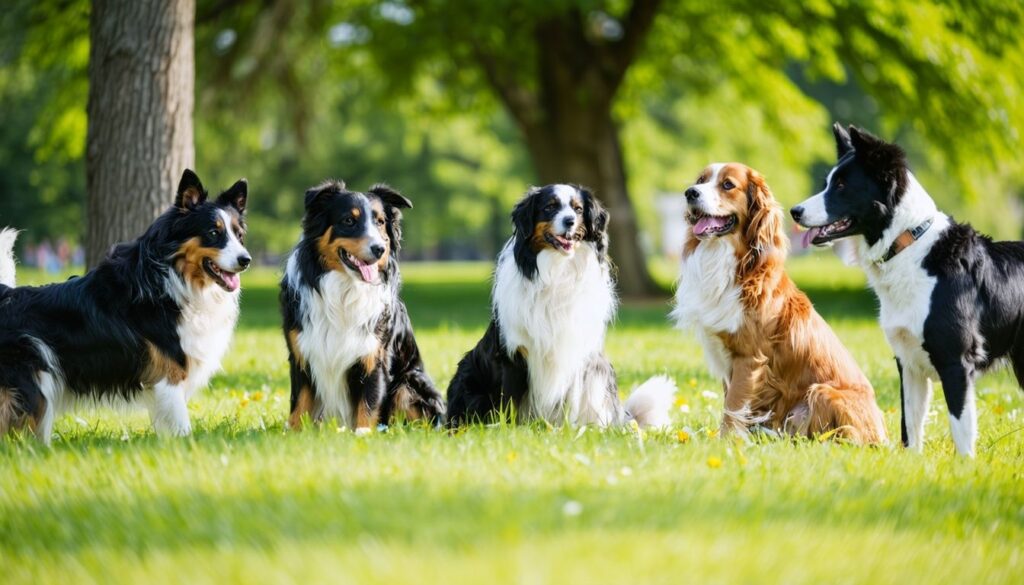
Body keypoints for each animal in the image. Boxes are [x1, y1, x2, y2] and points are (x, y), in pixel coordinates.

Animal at [1, 166, 251, 442]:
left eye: (239, 235)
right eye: (213, 233)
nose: (246, 260)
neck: (171, 278)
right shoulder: (169, 374)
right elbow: (180, 421)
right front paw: (188, 445)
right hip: (33, 383)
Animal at [280, 181, 444, 432]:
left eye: (380, 222)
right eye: (349, 220)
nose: (379, 249)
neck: (345, 290)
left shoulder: (373, 356)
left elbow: (368, 403)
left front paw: (363, 434)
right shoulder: (301, 354)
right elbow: (300, 404)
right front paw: (294, 433)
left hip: (409, 382)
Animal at [446, 185, 671, 428]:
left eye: (578, 209)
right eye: (550, 207)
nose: (569, 221)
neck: (557, 270)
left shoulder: (576, 351)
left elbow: (571, 399)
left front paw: (569, 430)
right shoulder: (513, 353)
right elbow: (508, 403)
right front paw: (506, 430)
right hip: (468, 372)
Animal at [786, 123, 1019, 456]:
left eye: (842, 185)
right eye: (828, 182)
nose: (795, 211)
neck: (907, 243)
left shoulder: (956, 363)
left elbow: (961, 431)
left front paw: (964, 467)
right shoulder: (907, 361)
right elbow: (910, 426)